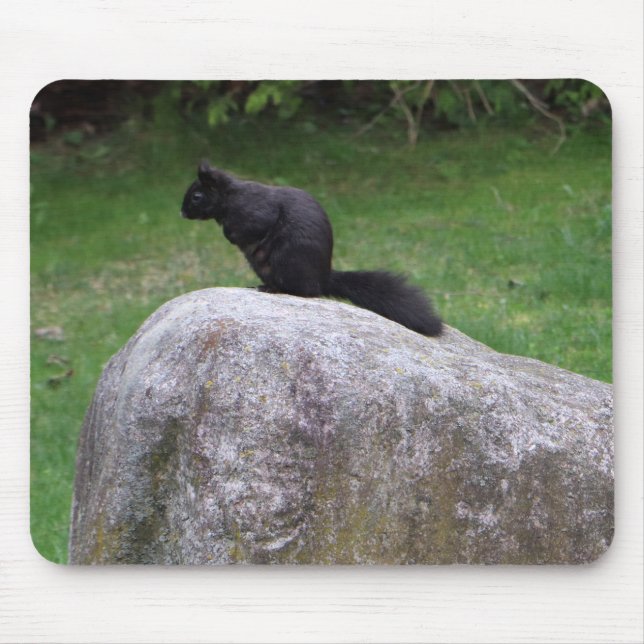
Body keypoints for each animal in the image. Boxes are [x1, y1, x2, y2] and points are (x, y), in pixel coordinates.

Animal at [180, 163, 443, 336]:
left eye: (197, 196)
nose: (181, 213)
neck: (229, 198)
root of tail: (323, 278)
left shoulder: (256, 211)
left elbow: (250, 226)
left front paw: (230, 234)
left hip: (288, 261)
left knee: (305, 291)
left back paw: (275, 289)